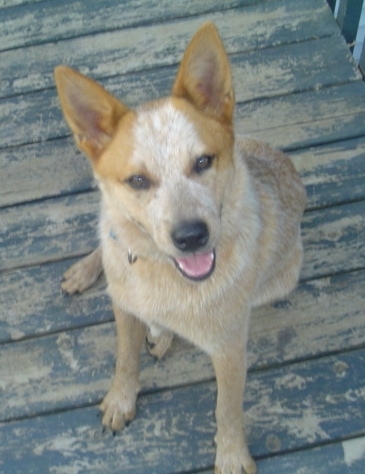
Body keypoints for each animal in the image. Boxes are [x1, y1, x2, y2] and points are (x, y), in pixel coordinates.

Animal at [54, 22, 304, 474]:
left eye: (203, 162)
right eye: (137, 180)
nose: (191, 236)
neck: (162, 272)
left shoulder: (230, 349)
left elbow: (228, 409)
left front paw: (232, 455)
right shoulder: (124, 306)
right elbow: (124, 358)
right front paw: (121, 398)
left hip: (285, 277)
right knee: (108, 232)